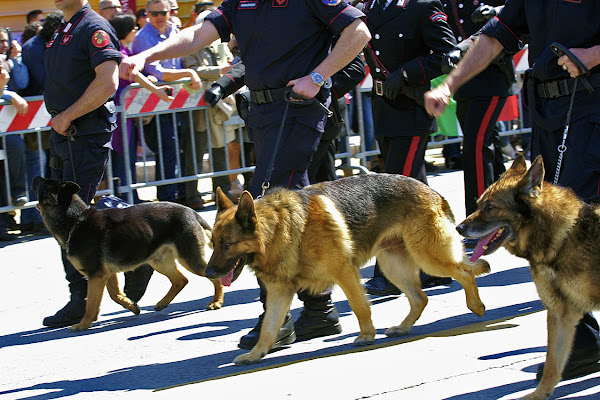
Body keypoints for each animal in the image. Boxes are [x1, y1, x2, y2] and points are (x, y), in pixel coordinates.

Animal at [33, 176, 225, 332]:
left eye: (44, 181)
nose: (36, 177)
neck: (75, 221)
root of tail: (192, 212)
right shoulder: (106, 275)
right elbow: (115, 295)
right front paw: (132, 306)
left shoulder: (96, 275)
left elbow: (92, 304)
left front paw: (83, 324)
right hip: (160, 261)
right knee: (180, 280)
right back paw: (162, 303)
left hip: (189, 259)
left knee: (214, 278)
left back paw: (216, 302)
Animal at [204, 173, 490, 364]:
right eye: (213, 244)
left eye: (227, 244)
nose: (207, 274)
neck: (277, 228)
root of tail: (431, 190)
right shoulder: (278, 293)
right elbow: (268, 327)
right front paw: (256, 353)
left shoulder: (344, 272)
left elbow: (360, 306)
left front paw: (366, 335)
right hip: (392, 265)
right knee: (420, 298)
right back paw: (403, 327)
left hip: (427, 256)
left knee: (464, 272)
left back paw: (476, 306)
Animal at [458, 154, 600, 400]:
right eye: (478, 205)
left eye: (491, 207)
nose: (458, 228)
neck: (562, 239)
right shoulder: (560, 314)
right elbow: (552, 364)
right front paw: (539, 394)